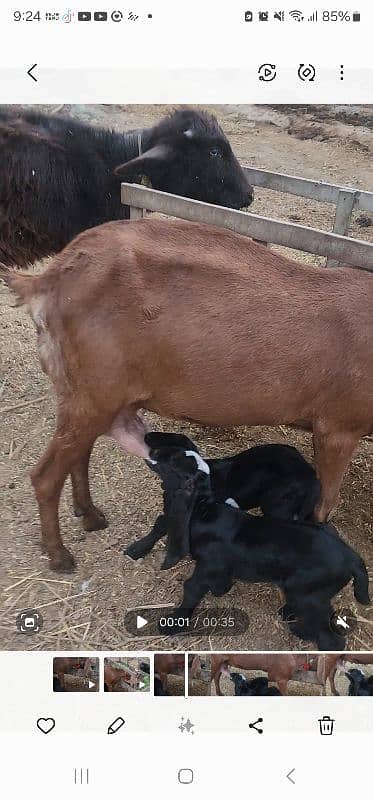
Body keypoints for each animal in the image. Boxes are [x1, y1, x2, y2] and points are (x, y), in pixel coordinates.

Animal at [126, 432, 318, 564]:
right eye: (174, 449)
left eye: (174, 462)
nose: (154, 452)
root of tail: (311, 478)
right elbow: (160, 522)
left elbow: (163, 524)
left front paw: (136, 549)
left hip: (278, 507)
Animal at [128, 446, 370, 652]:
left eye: (174, 462)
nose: (152, 451)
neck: (204, 510)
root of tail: (352, 557)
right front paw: (221, 589)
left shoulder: (208, 566)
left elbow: (192, 589)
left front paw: (174, 624)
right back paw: (290, 617)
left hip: (309, 594)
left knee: (332, 639)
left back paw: (304, 634)